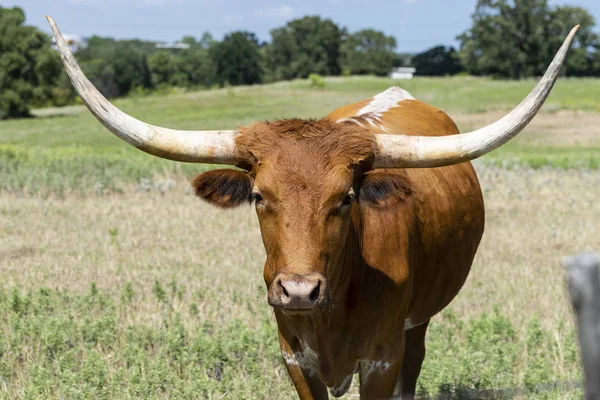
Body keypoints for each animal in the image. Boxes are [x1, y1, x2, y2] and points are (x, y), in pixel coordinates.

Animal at [49, 16, 580, 400]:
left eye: (345, 198)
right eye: (259, 196)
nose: (300, 290)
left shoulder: (382, 358)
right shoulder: (293, 357)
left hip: (419, 326)